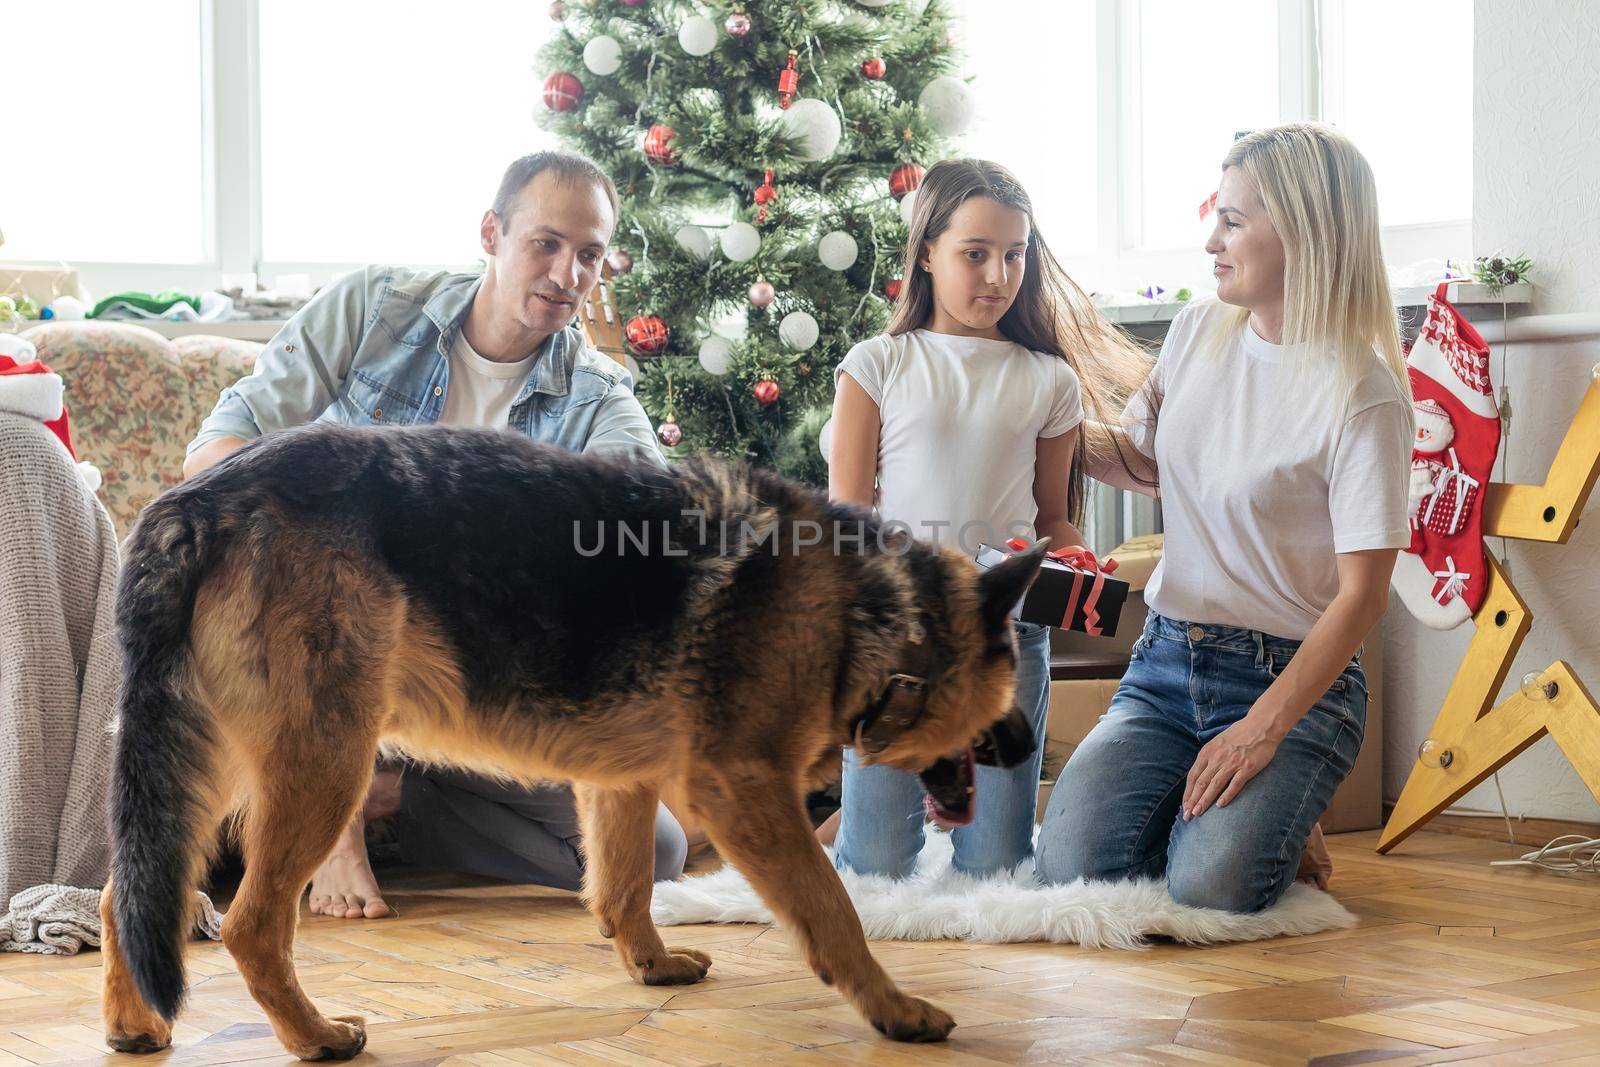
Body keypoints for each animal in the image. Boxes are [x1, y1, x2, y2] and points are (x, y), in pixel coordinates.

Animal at [103, 422, 1049, 1055]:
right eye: (1008, 679)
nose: (1028, 743)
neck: (873, 613)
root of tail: (193, 500)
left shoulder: (620, 782)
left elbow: (624, 888)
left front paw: (649, 966)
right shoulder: (742, 788)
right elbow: (833, 908)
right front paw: (893, 1006)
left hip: (221, 765)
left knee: (131, 893)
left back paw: (133, 1022)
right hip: (323, 765)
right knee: (252, 924)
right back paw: (313, 1034)